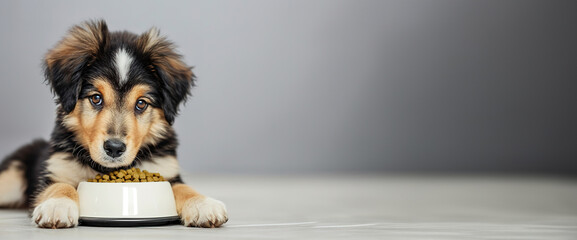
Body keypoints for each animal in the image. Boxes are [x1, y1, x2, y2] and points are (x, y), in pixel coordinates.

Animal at [0, 19, 228, 228]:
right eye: (96, 98)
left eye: (141, 103)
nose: (115, 148)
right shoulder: (56, 171)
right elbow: (61, 186)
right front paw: (58, 206)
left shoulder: (167, 171)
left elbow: (182, 188)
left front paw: (203, 204)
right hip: (10, 180)